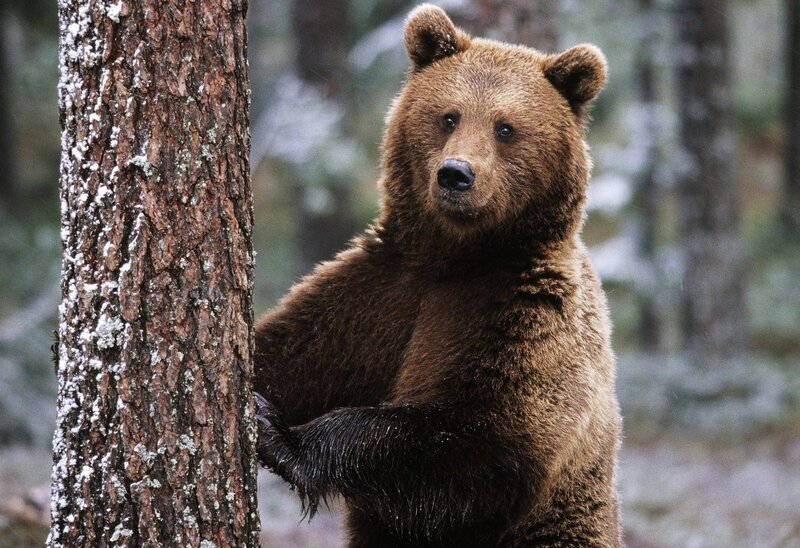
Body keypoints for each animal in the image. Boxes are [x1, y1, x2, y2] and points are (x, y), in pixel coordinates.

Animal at [253, 4, 622, 547]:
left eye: (505, 128)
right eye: (449, 116)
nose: (456, 174)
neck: (458, 256)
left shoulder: (522, 317)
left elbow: (476, 446)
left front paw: (281, 436)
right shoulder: (381, 292)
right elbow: (292, 350)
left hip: (560, 530)